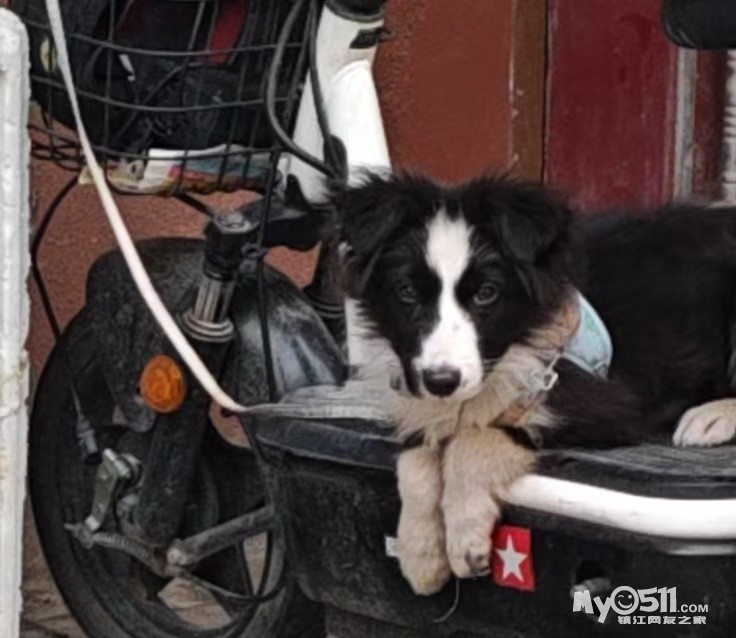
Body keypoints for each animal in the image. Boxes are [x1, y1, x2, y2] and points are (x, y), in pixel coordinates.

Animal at [337, 172, 736, 595]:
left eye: (487, 293)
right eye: (407, 292)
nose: (441, 380)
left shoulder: (609, 401)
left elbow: (475, 439)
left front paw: (464, 539)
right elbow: (415, 457)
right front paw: (420, 553)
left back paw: (712, 417)